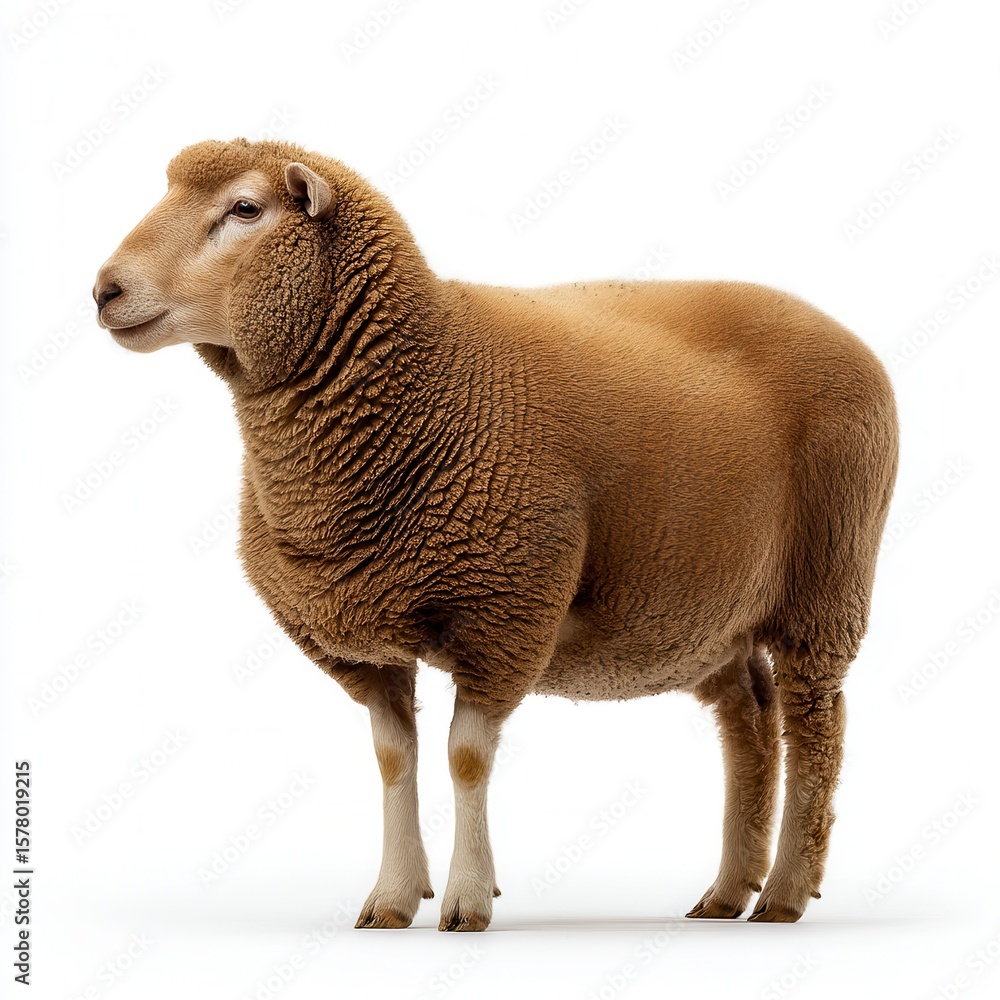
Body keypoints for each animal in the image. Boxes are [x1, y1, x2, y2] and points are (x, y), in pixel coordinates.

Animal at [93, 138, 899, 931]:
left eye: (245, 209)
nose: (104, 290)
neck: (431, 381)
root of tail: (842, 332)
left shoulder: (504, 610)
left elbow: (466, 759)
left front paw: (466, 898)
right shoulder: (370, 646)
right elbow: (395, 760)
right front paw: (393, 898)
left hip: (826, 579)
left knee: (815, 726)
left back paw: (785, 893)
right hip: (703, 613)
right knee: (750, 722)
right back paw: (728, 891)